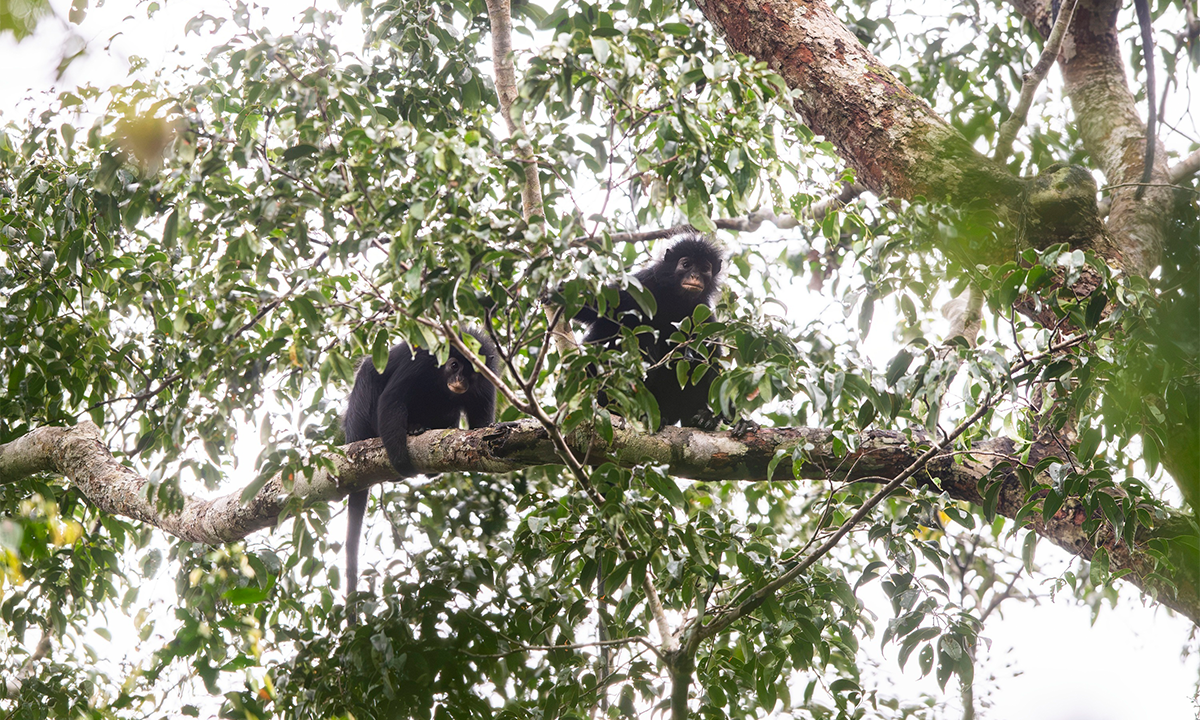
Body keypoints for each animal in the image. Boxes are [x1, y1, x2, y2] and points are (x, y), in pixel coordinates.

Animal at [342, 329, 498, 620]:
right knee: (369, 372)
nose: (460, 380)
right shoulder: (422, 362)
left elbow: (481, 427)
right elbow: (392, 399)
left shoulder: (487, 379)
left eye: (471, 371)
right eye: (455, 366)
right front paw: (401, 462)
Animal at [569, 232, 724, 430]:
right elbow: (599, 305)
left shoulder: (703, 313)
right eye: (686, 265)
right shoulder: (643, 284)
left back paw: (700, 419)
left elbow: (711, 361)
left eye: (705, 268)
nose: (695, 276)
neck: (675, 300)